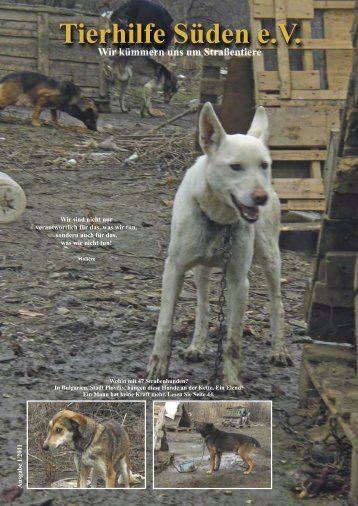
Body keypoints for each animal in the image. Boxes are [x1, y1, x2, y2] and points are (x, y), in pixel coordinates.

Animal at [147, 103, 292, 384]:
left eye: (264, 165)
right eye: (235, 166)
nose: (262, 198)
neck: (219, 218)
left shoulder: (238, 282)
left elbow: (233, 339)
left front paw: (232, 381)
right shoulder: (174, 269)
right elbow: (165, 323)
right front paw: (158, 365)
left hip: (270, 258)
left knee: (277, 304)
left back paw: (279, 350)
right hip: (199, 271)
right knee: (202, 305)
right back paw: (198, 344)